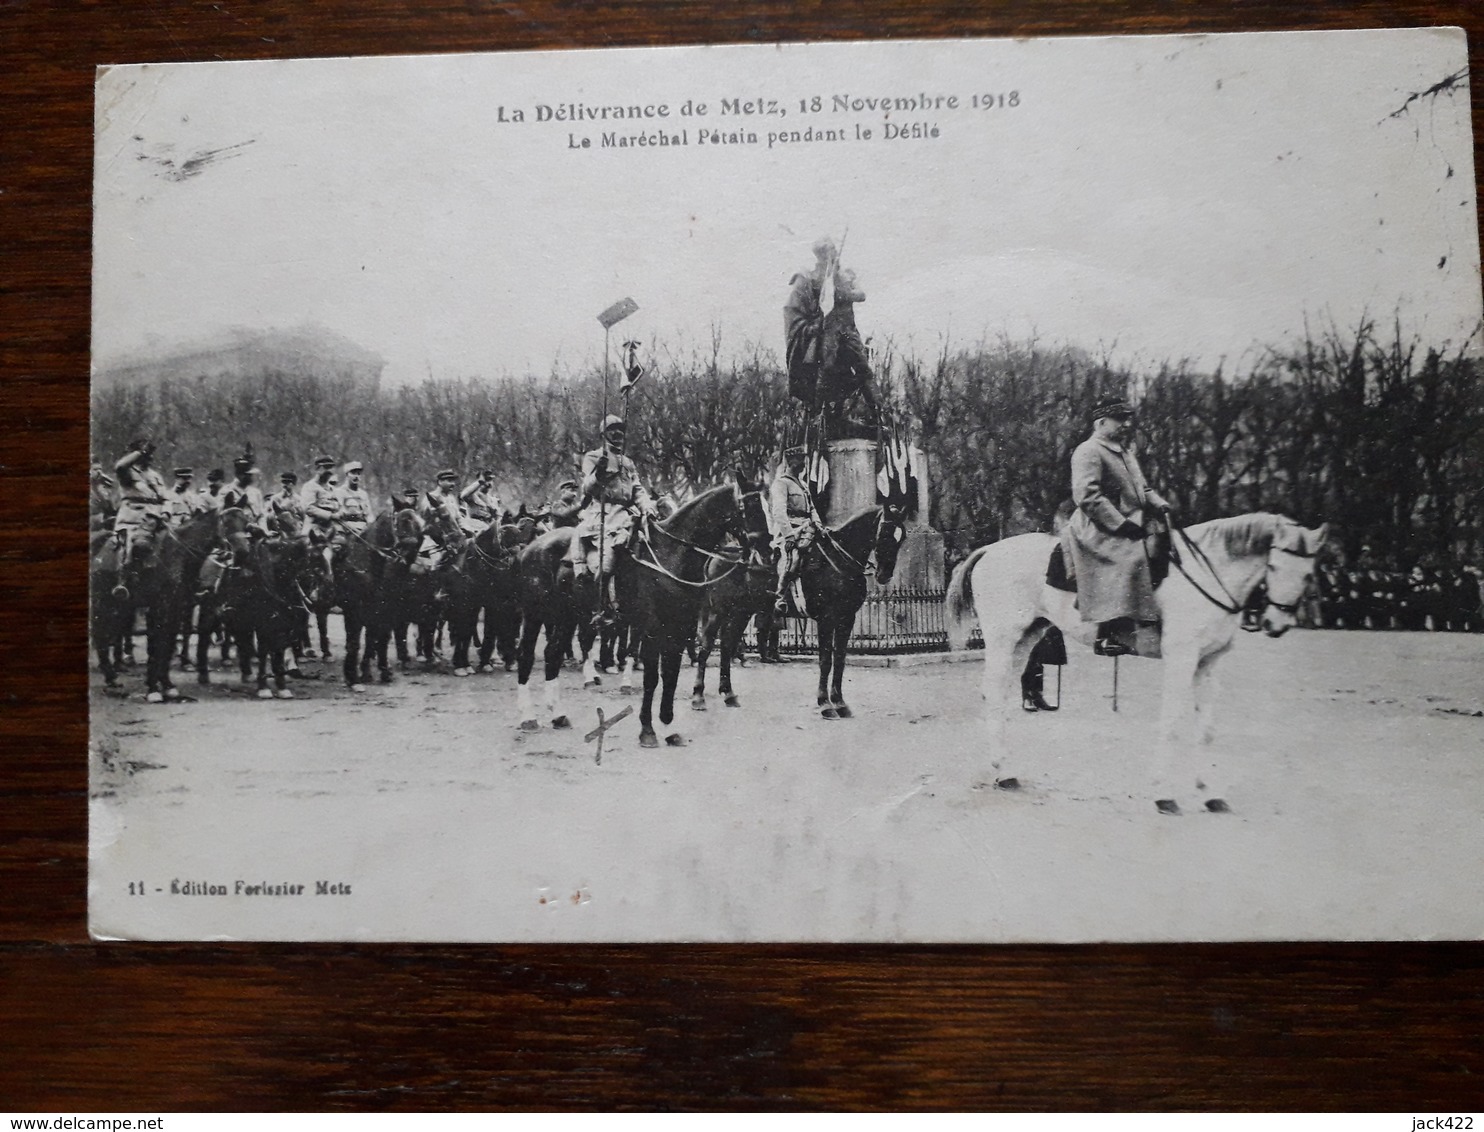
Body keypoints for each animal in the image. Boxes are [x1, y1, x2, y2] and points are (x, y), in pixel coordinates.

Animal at [91, 513, 216, 700]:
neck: (178, 554)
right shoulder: (162, 608)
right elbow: (159, 643)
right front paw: (154, 688)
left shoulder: (176, 608)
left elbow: (167, 643)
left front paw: (166, 684)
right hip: (102, 603)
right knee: (101, 637)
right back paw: (112, 679)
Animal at [336, 507, 424, 685]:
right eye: (402, 522)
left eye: (420, 529)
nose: (405, 560)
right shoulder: (353, 612)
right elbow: (355, 642)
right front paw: (352, 676)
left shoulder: (381, 611)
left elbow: (376, 640)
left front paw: (376, 671)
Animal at [801, 504, 902, 718]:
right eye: (885, 533)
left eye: (902, 537)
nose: (884, 576)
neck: (840, 560)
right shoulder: (826, 619)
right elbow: (825, 660)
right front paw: (825, 704)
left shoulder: (846, 618)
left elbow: (839, 658)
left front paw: (839, 703)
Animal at [943, 513, 1329, 813]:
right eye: (1274, 564)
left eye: (1308, 574)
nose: (1276, 625)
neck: (1208, 574)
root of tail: (991, 548)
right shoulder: (1181, 659)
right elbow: (1171, 723)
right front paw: (1164, 794)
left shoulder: (1209, 663)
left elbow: (1206, 729)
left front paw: (1210, 791)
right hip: (1004, 637)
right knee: (994, 693)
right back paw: (1002, 771)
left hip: (1027, 637)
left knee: (1000, 695)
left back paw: (1003, 768)